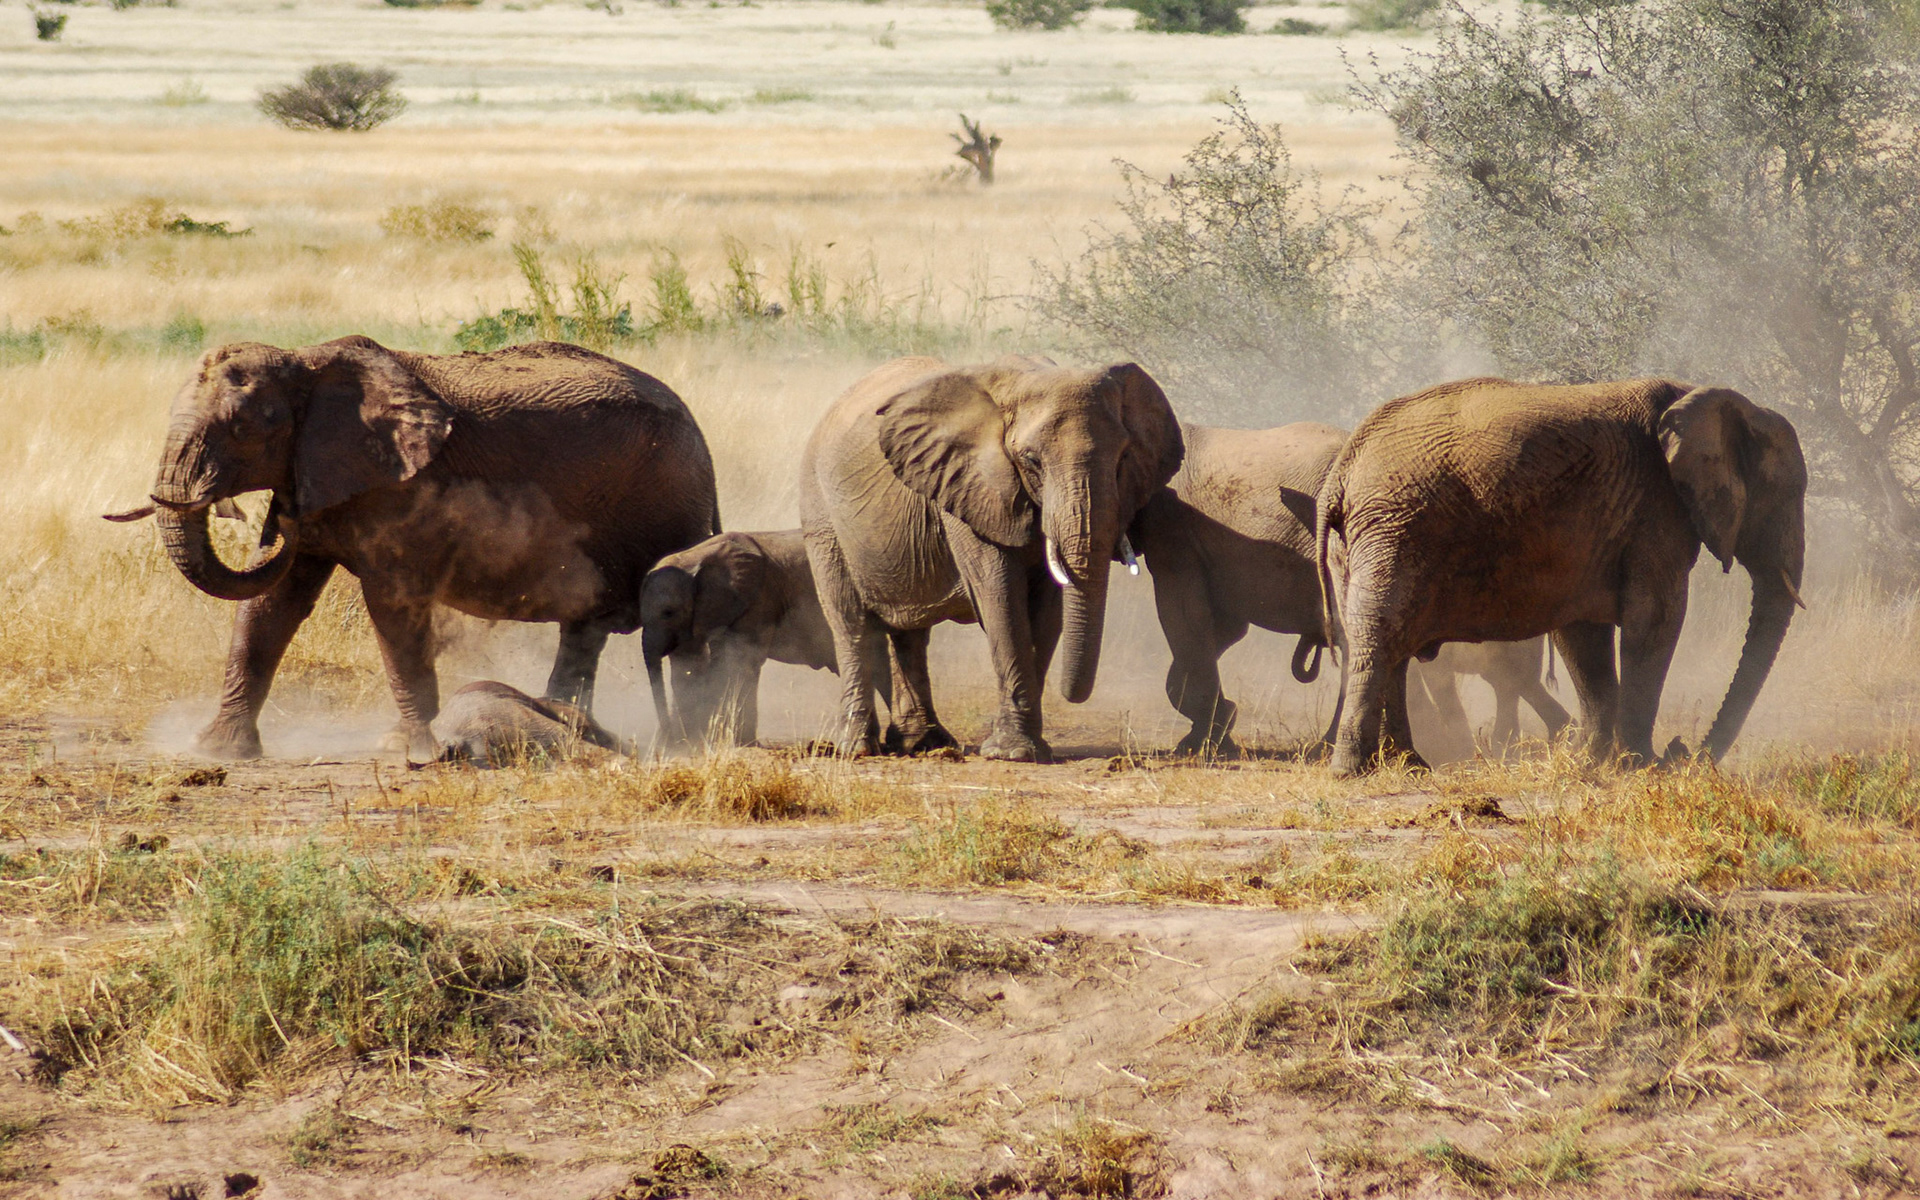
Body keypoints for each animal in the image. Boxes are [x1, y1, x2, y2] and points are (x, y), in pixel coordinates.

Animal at [800, 356, 1184, 762]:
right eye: (1031, 460)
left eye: (1123, 458)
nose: (1073, 695)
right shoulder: (968, 485)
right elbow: (1002, 601)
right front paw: (1013, 753)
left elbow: (1046, 612)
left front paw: (1025, 747)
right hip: (821, 515)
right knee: (850, 622)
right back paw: (858, 748)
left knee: (911, 633)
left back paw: (924, 744)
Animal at [1129, 421, 1347, 757]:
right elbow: (1226, 627)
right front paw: (1217, 730)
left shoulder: (1171, 526)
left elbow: (1183, 612)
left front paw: (1198, 746)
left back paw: (1327, 749)